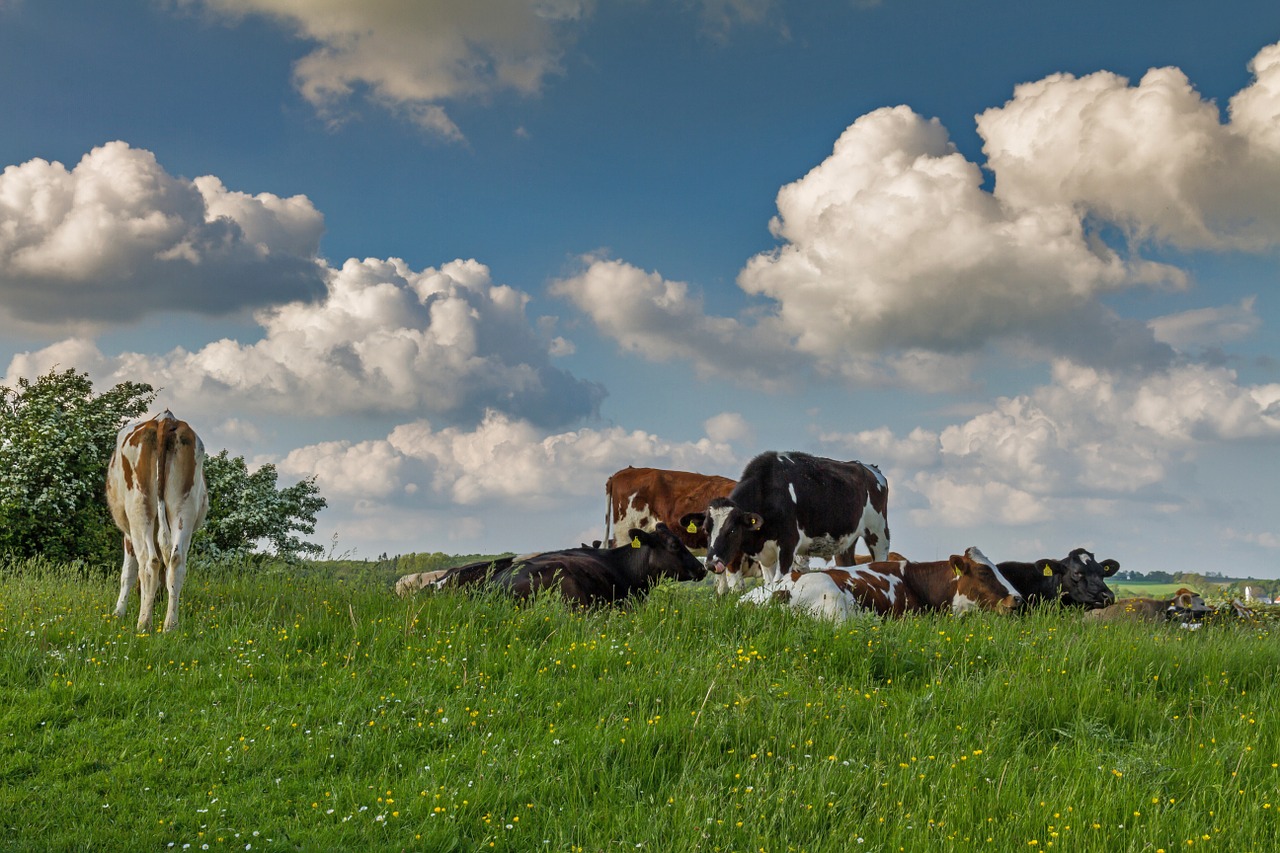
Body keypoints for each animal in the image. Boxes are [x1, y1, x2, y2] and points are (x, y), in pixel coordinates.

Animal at [106, 412, 207, 630]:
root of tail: (165, 420)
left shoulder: (127, 533)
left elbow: (128, 572)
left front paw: (118, 612)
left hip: (139, 509)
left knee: (149, 562)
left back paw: (144, 623)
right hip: (184, 509)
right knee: (176, 561)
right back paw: (170, 625)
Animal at [680, 450, 890, 584]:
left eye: (731, 530)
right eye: (706, 529)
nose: (711, 563)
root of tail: (870, 468)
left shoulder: (789, 545)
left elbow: (779, 581)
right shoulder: (765, 553)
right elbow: (769, 583)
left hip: (878, 531)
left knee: (881, 559)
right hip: (846, 541)